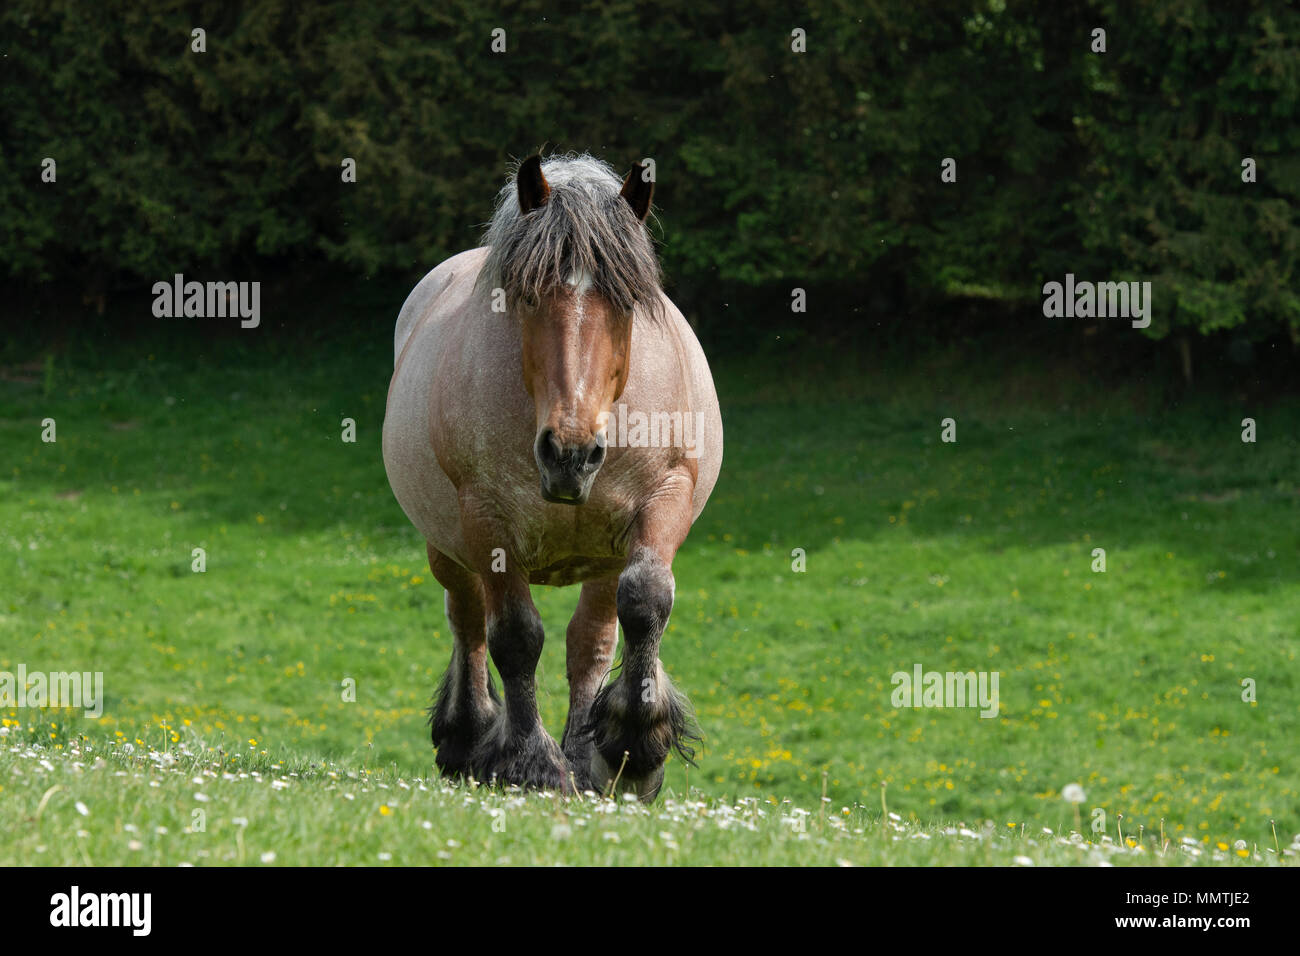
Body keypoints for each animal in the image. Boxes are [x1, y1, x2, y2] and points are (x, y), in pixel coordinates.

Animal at [379, 155, 728, 801]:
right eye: (527, 296)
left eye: (627, 300)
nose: (570, 453)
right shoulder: (485, 517)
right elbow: (515, 635)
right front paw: (531, 762)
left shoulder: (664, 500)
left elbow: (645, 602)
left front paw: (635, 749)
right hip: (446, 544)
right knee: (467, 617)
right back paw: (469, 734)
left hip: (603, 558)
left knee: (591, 640)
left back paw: (587, 757)